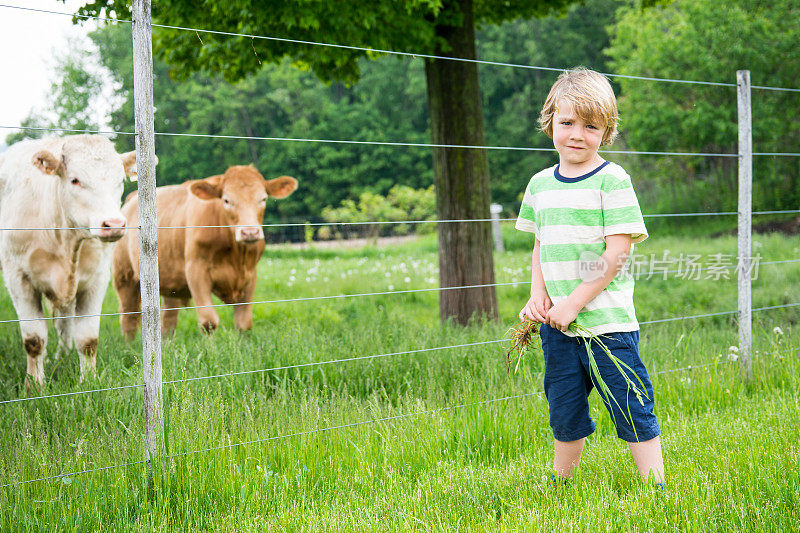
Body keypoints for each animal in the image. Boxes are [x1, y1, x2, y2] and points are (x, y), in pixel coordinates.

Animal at [0, 135, 138, 388]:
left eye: (119, 181)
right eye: (75, 180)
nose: (114, 224)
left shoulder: (97, 279)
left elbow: (87, 338)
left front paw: (89, 381)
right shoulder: (18, 277)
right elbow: (34, 339)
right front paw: (34, 385)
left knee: (65, 324)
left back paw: (61, 357)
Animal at [112, 165, 296, 336]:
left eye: (263, 199)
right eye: (227, 200)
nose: (250, 232)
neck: (235, 255)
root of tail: (130, 200)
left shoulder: (250, 275)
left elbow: (244, 323)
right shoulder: (196, 271)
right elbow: (209, 321)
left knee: (168, 318)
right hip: (124, 276)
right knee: (128, 317)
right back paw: (129, 346)